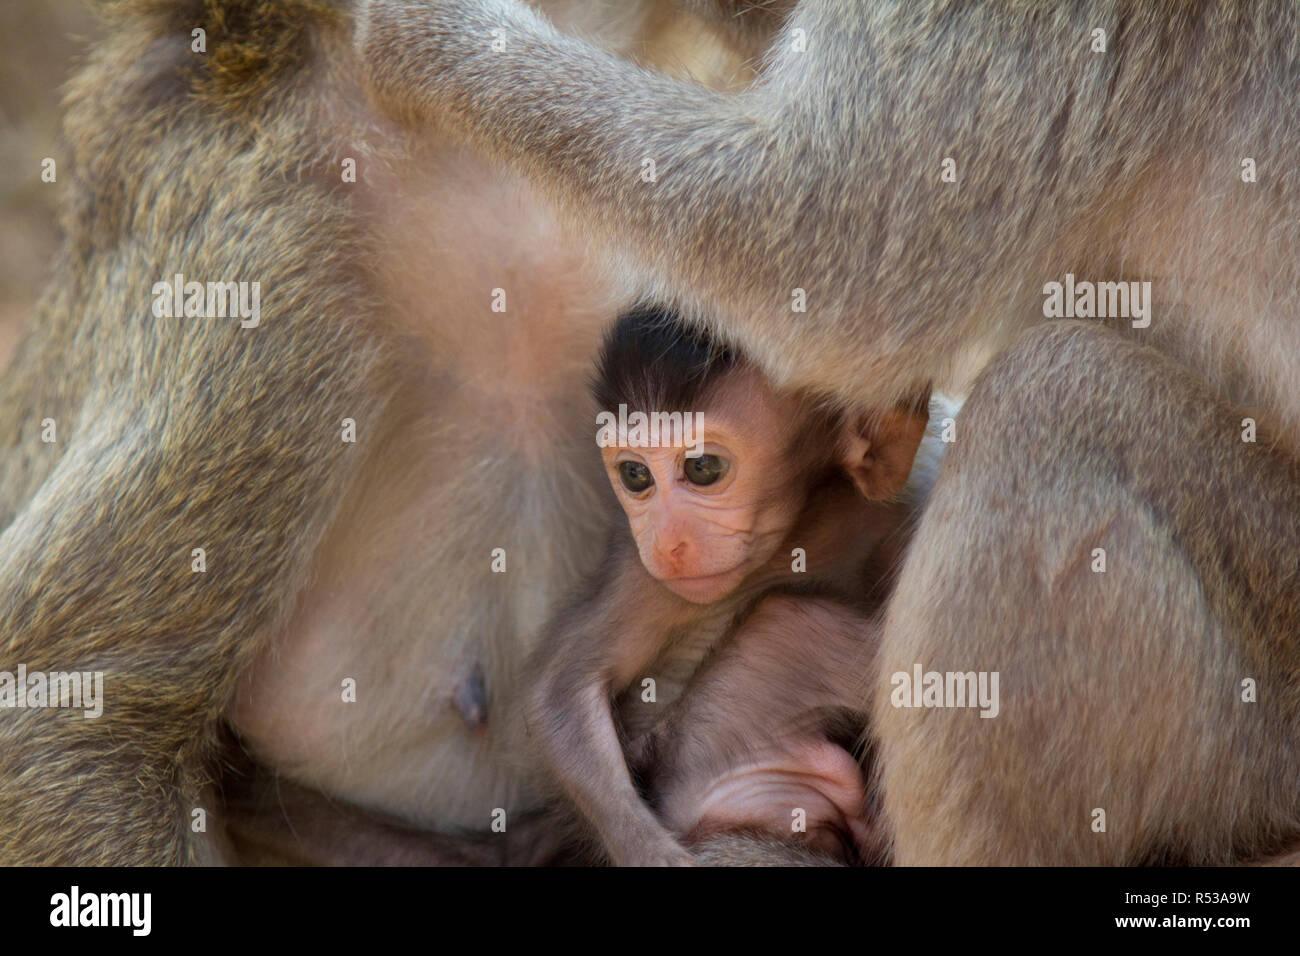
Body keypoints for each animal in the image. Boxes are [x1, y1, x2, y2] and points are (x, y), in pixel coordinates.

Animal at [524, 305, 929, 866]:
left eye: (703, 467)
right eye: (635, 475)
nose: (668, 542)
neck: (801, 531)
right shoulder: (649, 579)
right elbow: (564, 686)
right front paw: (651, 852)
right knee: (794, 621)